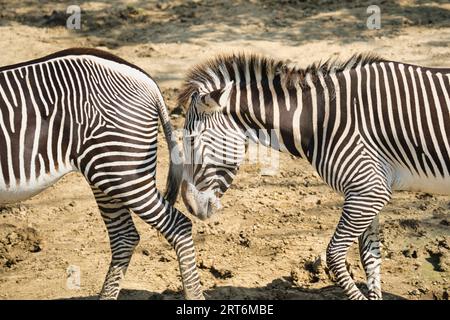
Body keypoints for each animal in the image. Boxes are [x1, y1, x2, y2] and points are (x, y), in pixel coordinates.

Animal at [177, 53, 450, 300]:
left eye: (192, 140)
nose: (189, 205)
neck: (320, 120)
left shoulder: (368, 191)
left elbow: (334, 255)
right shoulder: (369, 190)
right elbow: (370, 258)